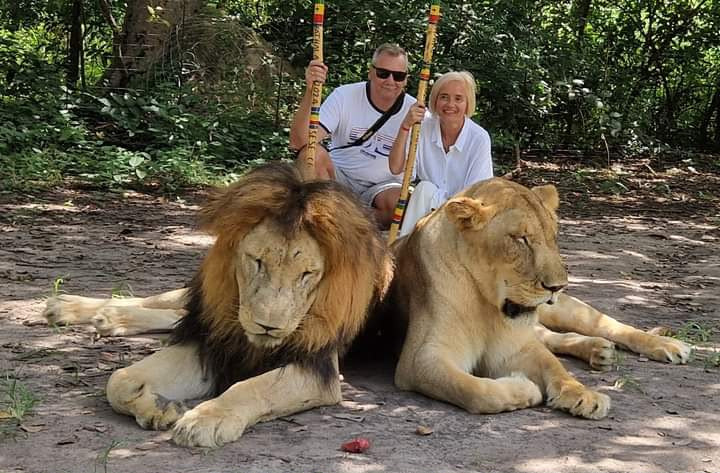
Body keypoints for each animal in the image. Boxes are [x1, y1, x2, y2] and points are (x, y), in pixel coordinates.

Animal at [44, 162, 393, 448]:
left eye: (307, 274)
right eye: (257, 261)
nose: (268, 326)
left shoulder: (318, 368)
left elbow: (251, 387)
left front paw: (206, 418)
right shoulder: (211, 341)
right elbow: (120, 380)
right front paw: (158, 406)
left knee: (172, 313)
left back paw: (107, 317)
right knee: (164, 303)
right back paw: (73, 308)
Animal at [386, 177, 691, 419]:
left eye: (553, 236)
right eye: (521, 239)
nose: (558, 286)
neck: (486, 302)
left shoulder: (515, 346)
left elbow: (554, 367)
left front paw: (584, 395)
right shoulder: (421, 359)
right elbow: (475, 390)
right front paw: (524, 388)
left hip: (565, 310)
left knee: (607, 325)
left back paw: (667, 345)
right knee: (554, 338)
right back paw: (597, 351)